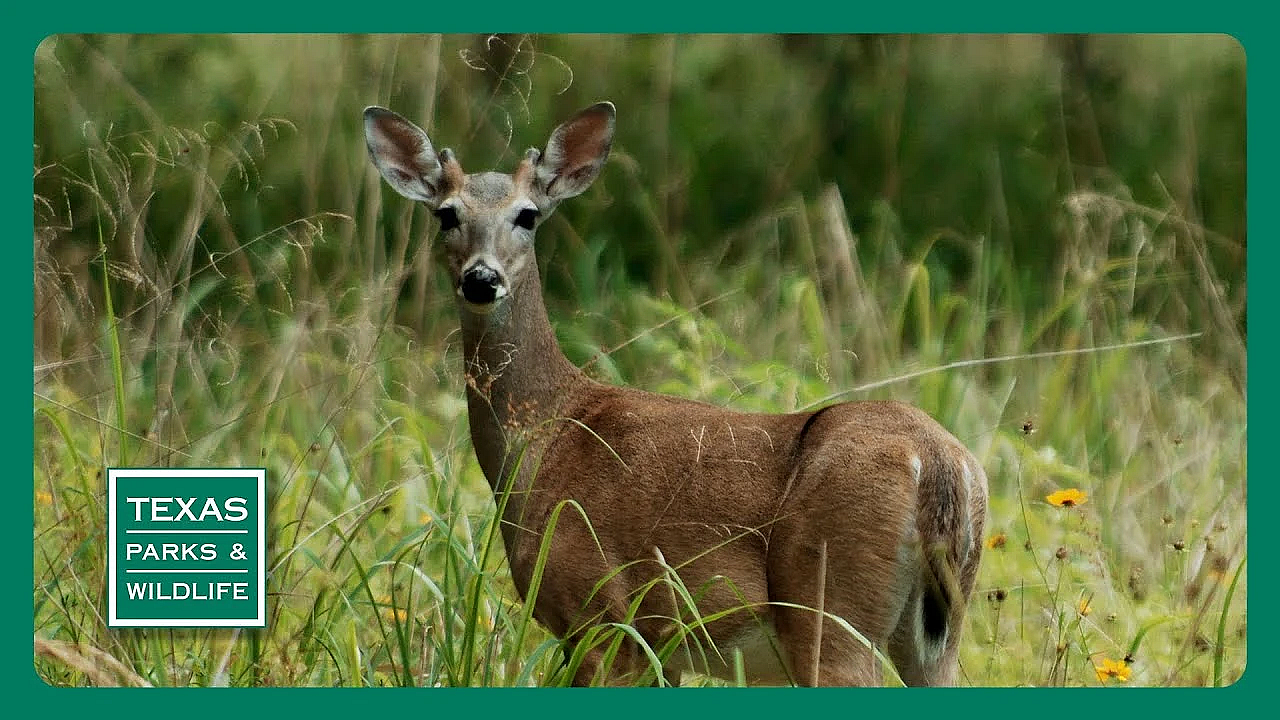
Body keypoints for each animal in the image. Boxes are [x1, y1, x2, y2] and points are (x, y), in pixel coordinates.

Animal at [363, 100, 988, 687]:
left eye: (528, 215)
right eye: (447, 213)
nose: (481, 279)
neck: (547, 437)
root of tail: (938, 461)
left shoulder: (599, 613)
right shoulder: (658, 647)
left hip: (829, 608)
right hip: (936, 633)